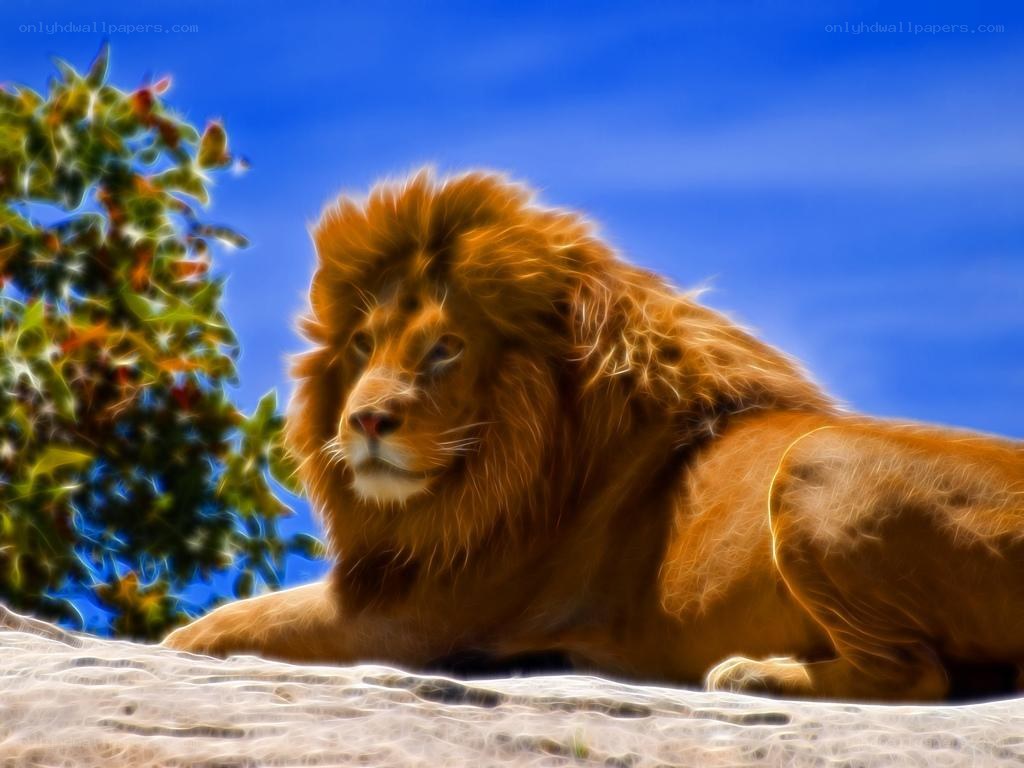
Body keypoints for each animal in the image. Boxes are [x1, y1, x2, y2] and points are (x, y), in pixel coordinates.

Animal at [163, 169, 1024, 702]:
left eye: (446, 348)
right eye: (363, 345)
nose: (366, 421)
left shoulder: (414, 617)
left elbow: (220, 627)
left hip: (813, 460)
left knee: (917, 676)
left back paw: (754, 675)